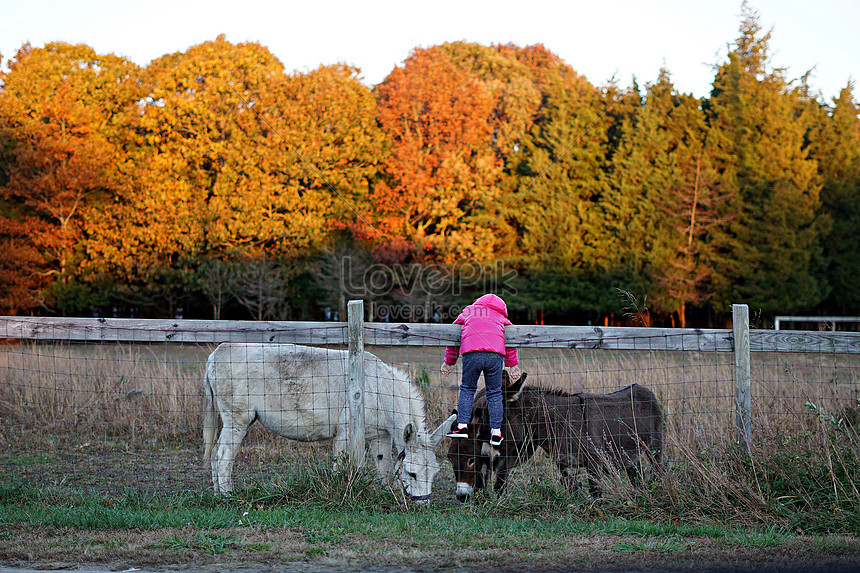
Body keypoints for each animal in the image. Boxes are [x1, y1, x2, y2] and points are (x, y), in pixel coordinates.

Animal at [202, 344, 456, 500]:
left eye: (435, 474)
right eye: (412, 474)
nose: (423, 505)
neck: (379, 388)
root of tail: (216, 354)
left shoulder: (380, 434)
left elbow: (385, 468)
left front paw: (389, 495)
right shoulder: (346, 432)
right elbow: (341, 466)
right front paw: (341, 491)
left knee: (215, 453)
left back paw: (217, 494)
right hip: (238, 418)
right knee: (223, 456)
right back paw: (228, 496)